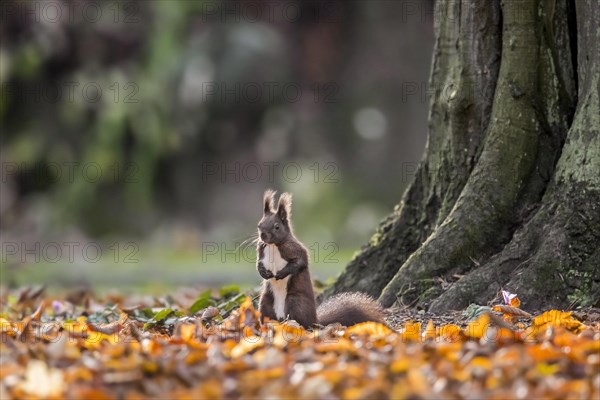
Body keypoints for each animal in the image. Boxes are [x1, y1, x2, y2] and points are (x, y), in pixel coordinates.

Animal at [255, 190, 382, 328]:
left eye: (276, 226)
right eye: (259, 225)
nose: (263, 235)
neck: (273, 246)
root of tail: (315, 320)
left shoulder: (296, 250)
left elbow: (300, 262)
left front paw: (282, 273)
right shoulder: (261, 250)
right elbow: (258, 263)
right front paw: (263, 272)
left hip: (295, 302)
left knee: (301, 322)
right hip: (265, 302)